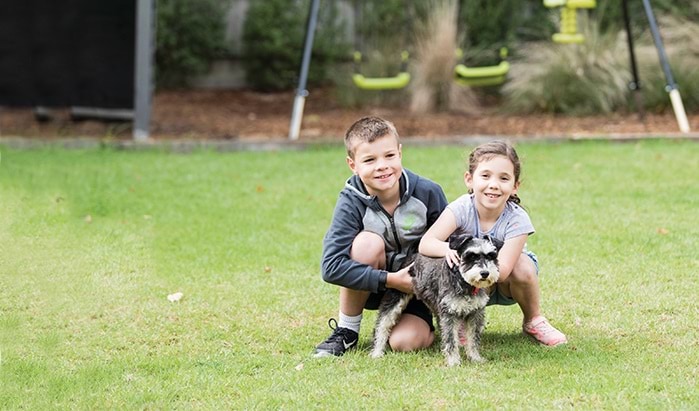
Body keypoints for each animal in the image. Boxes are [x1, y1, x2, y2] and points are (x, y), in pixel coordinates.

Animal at [372, 235, 504, 366]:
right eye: (470, 256)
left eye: (491, 256)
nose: (485, 273)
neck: (465, 284)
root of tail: (413, 255)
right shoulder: (449, 314)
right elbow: (451, 339)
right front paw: (453, 361)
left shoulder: (475, 314)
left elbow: (473, 338)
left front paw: (475, 358)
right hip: (395, 297)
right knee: (382, 324)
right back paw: (377, 352)